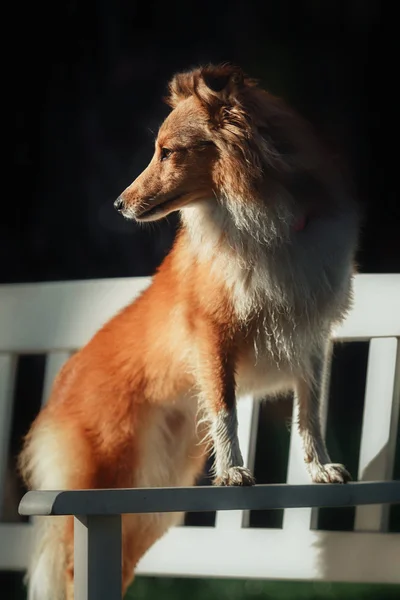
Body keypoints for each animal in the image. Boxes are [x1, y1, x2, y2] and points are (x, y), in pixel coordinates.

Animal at [18, 63, 358, 596]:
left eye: (168, 151)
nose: (118, 204)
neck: (265, 222)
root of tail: (62, 381)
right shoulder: (211, 333)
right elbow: (225, 407)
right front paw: (234, 472)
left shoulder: (311, 339)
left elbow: (309, 413)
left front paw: (319, 468)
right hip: (103, 480)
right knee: (74, 570)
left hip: (151, 503)